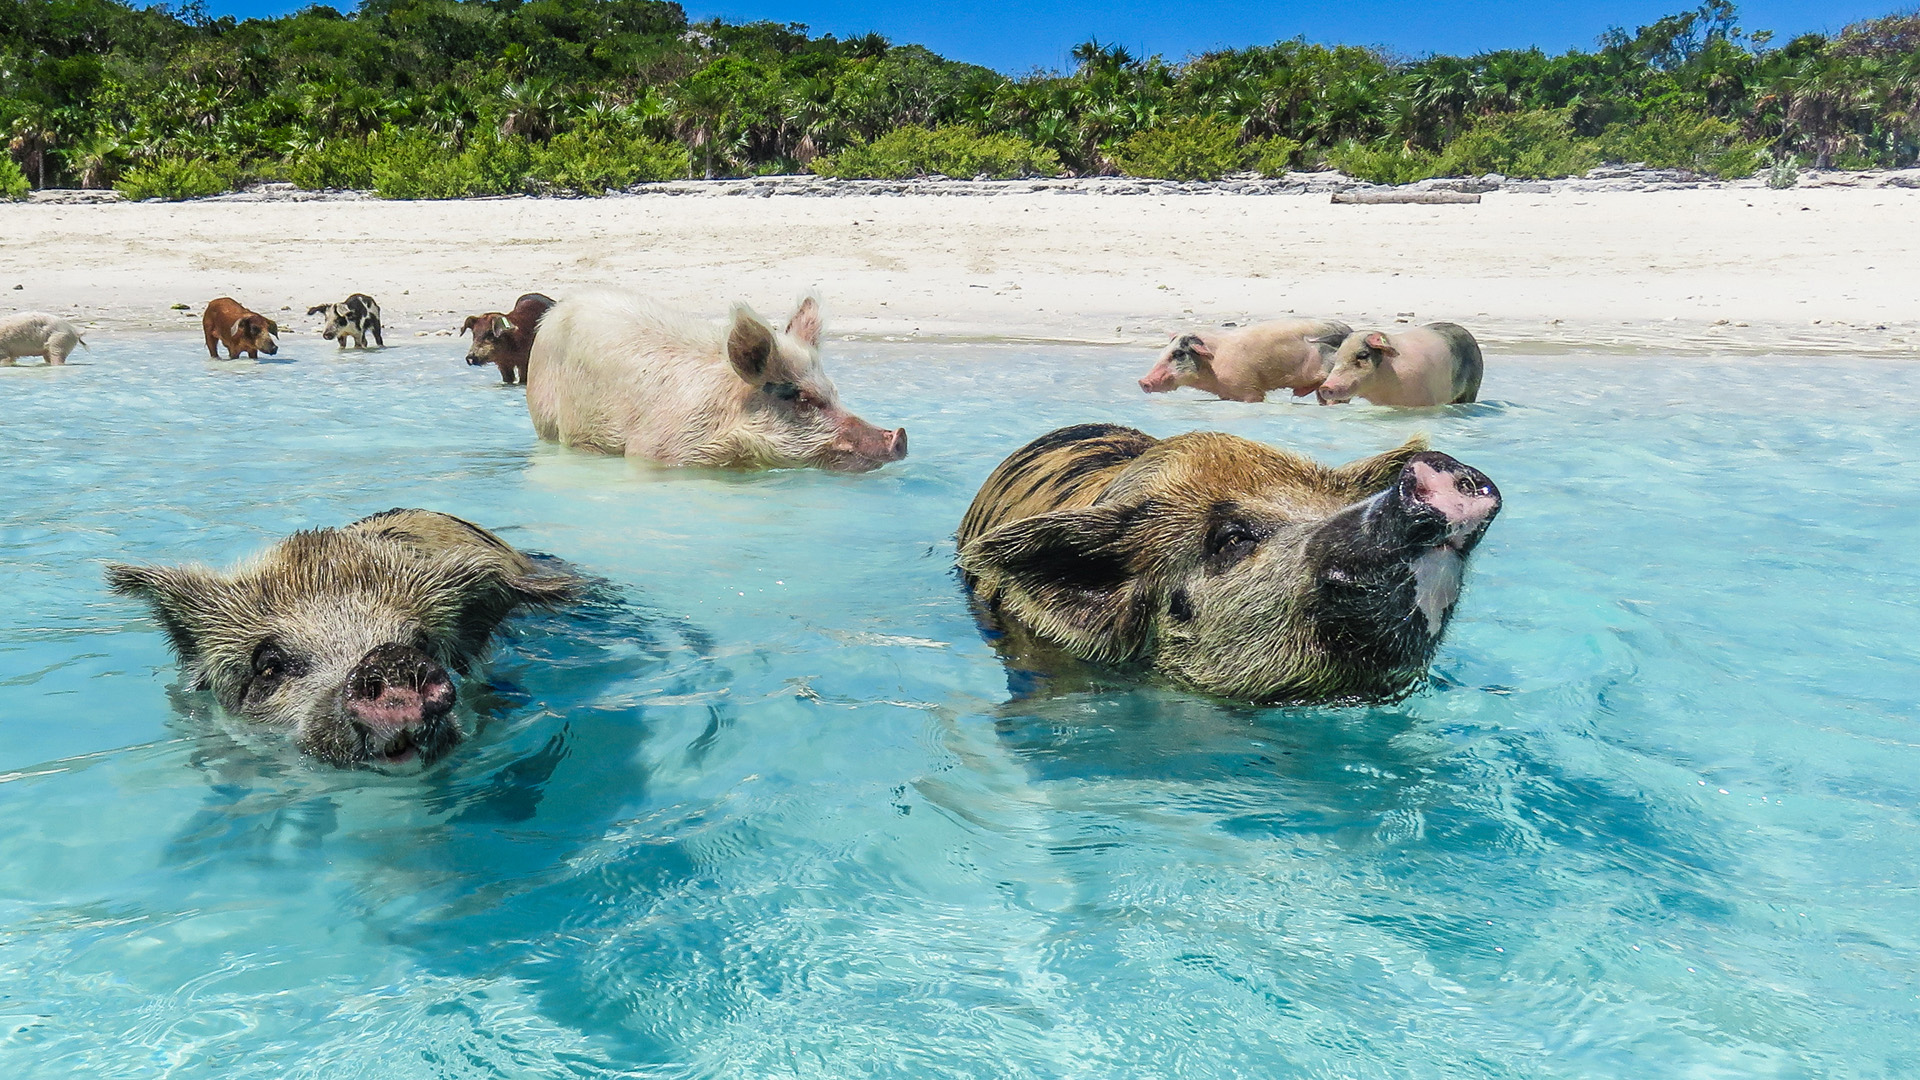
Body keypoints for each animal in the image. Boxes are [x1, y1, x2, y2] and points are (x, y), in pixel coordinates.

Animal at [526, 290, 908, 472]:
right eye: (802, 398)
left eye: (835, 392)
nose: (899, 435)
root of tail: (556, 311)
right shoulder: (653, 452)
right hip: (545, 416)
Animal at [1137, 319, 1352, 402]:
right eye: (1165, 351)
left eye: (1178, 354)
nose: (1142, 381)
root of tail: (1347, 330)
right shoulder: (1226, 393)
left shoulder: (1249, 388)